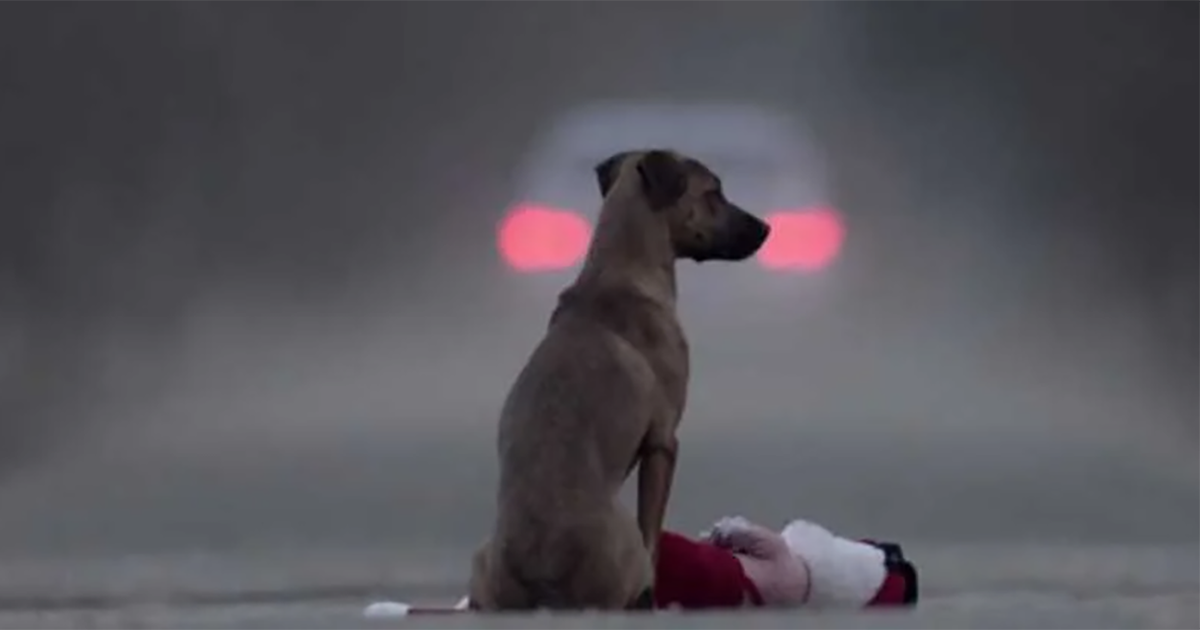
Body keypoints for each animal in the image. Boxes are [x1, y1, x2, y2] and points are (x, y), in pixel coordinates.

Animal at [468, 148, 768, 609]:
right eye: (714, 192)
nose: (767, 229)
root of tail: (544, 577)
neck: (619, 271)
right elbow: (654, 533)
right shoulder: (663, 443)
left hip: (482, 555)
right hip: (625, 539)